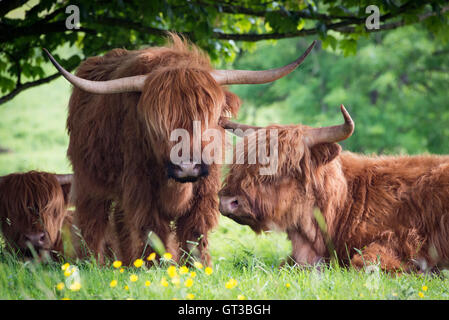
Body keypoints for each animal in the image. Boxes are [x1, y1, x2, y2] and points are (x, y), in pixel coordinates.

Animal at [43, 33, 316, 264]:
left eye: (209, 119)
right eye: (156, 124)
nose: (187, 166)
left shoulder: (205, 191)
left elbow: (195, 232)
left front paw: (197, 267)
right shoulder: (142, 190)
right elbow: (153, 230)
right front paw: (157, 267)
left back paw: (127, 264)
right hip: (89, 179)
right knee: (93, 222)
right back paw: (91, 263)